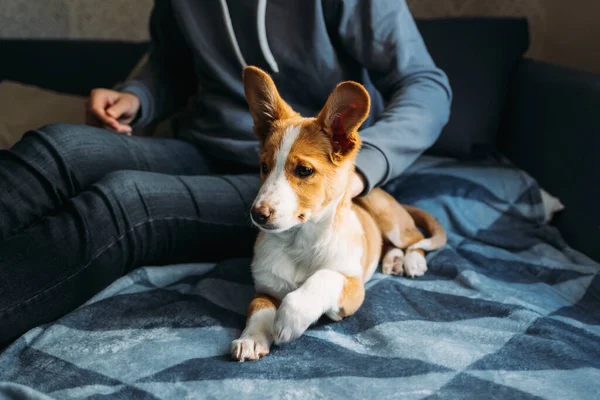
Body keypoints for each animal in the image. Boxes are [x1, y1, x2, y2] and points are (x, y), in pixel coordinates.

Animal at [232, 66, 448, 362]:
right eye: (264, 166)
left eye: (304, 170)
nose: (258, 215)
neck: (300, 242)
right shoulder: (265, 287)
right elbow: (259, 307)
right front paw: (252, 338)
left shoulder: (353, 289)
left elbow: (324, 277)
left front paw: (290, 319)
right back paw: (393, 260)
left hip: (390, 221)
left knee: (414, 239)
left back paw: (412, 262)